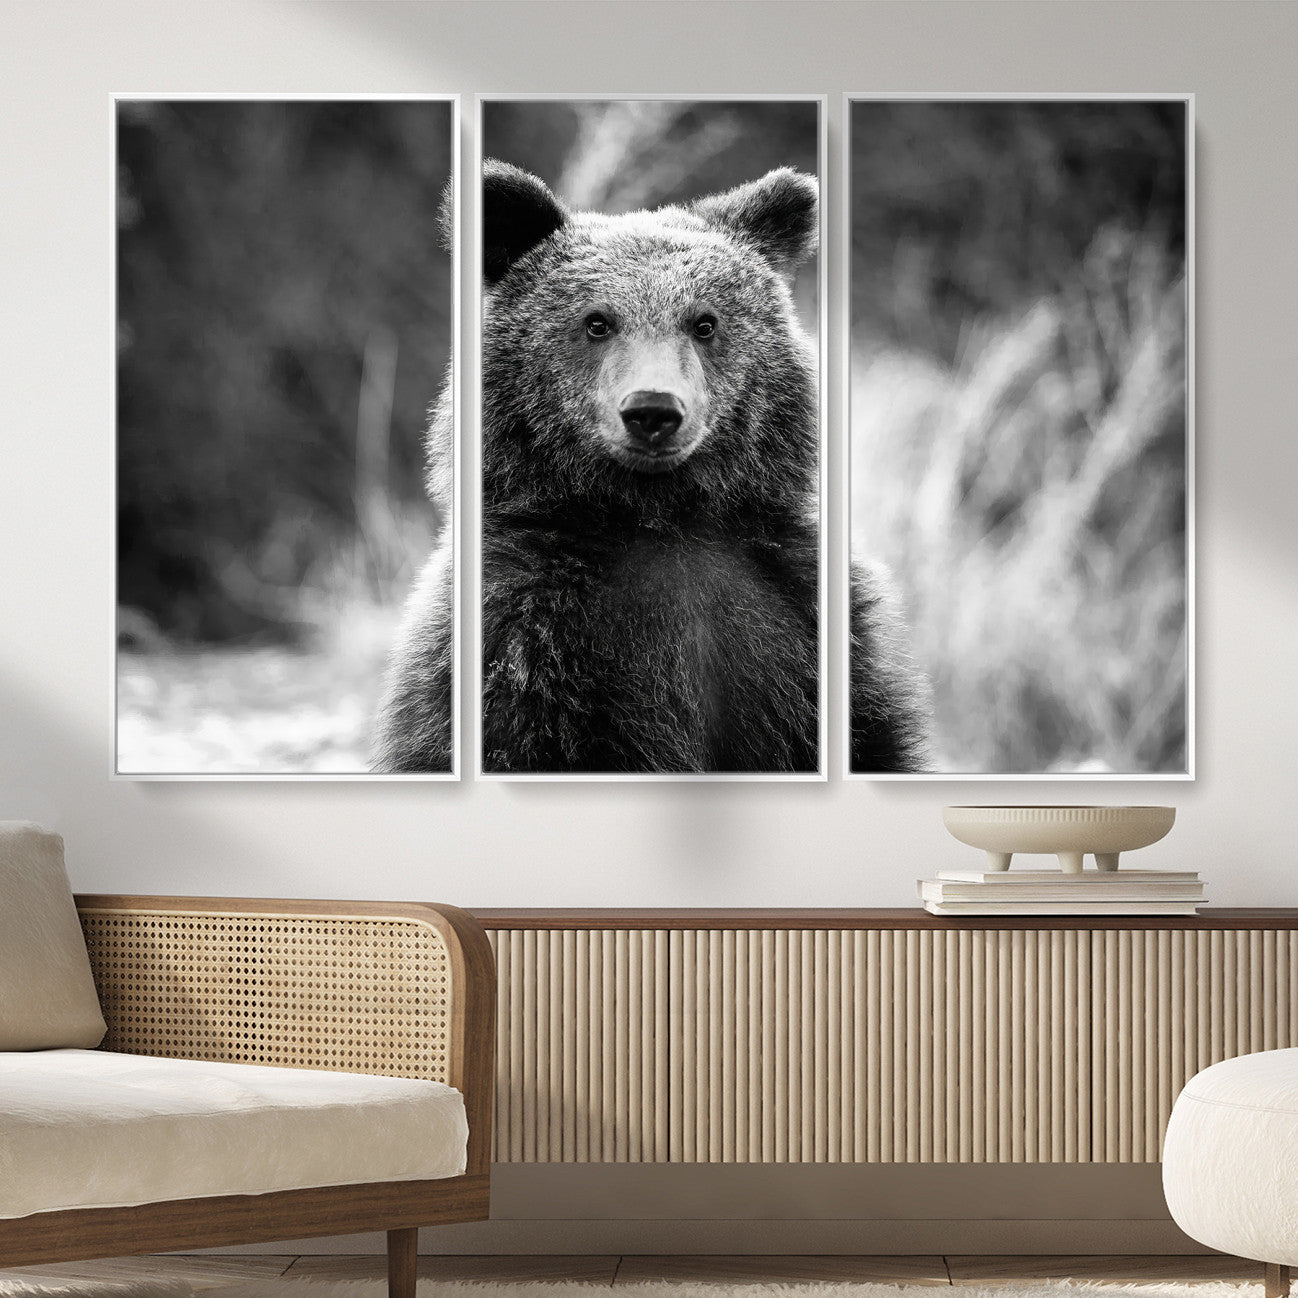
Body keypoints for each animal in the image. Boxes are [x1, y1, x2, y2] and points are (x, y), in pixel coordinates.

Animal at [373, 159, 930, 775]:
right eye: (597, 322)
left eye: (704, 322)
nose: (653, 411)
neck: (659, 516)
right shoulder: (524, 637)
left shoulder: (800, 616)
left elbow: (871, 735)